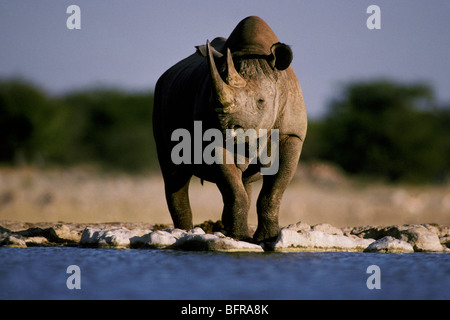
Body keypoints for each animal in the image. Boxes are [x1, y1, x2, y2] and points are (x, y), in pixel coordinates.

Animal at [154, 16, 306, 241]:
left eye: (261, 101)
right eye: (211, 101)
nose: (225, 127)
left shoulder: (292, 134)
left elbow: (273, 192)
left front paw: (267, 238)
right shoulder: (211, 139)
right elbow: (234, 190)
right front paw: (240, 238)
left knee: (244, 182)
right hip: (160, 96)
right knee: (174, 174)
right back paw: (183, 232)